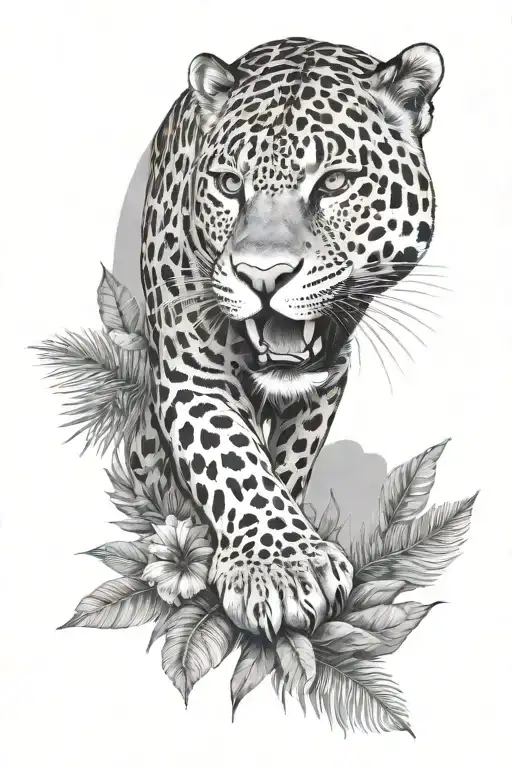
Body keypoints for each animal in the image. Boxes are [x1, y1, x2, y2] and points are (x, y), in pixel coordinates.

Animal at [127, 37, 444, 639]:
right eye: (230, 184)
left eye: (334, 183)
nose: (263, 276)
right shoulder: (192, 375)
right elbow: (234, 460)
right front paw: (279, 571)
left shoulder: (327, 377)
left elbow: (289, 460)